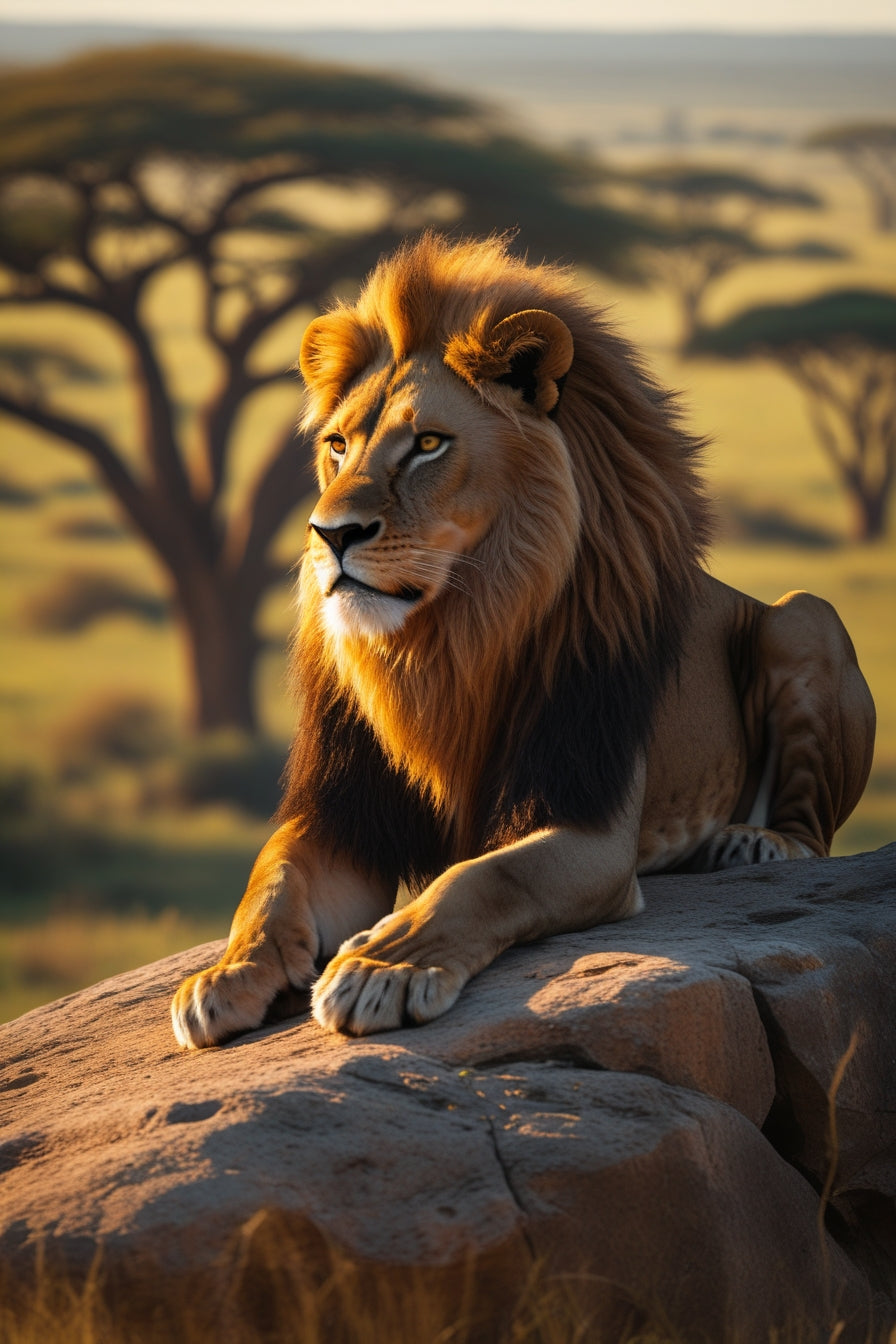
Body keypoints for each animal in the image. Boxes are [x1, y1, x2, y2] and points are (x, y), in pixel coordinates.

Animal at [171, 233, 875, 1048]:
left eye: (429, 444)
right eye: (339, 445)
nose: (329, 533)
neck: (444, 644)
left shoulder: (587, 826)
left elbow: (480, 877)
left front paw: (384, 966)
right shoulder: (342, 819)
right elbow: (271, 880)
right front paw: (226, 973)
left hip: (804, 617)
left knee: (813, 832)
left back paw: (752, 843)